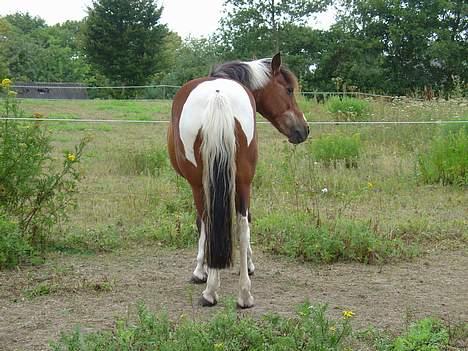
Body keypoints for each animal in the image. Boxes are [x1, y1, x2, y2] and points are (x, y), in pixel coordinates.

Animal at [166, 53, 308, 310]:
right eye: (289, 90)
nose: (304, 130)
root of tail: (218, 96)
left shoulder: (196, 185)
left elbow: (201, 224)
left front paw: (200, 270)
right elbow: (245, 222)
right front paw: (248, 266)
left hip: (202, 183)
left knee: (210, 221)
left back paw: (210, 291)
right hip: (242, 181)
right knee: (243, 225)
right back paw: (244, 295)